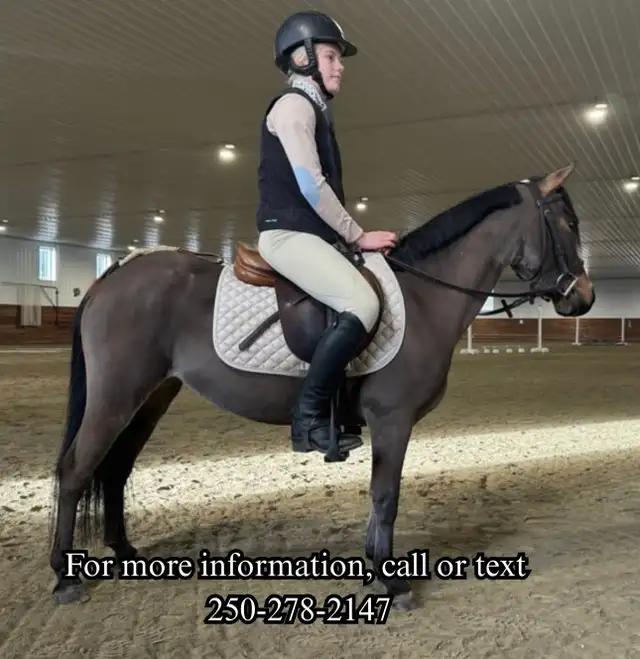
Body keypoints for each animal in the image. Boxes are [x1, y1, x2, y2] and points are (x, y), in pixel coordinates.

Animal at [48, 162, 595, 610]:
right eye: (568, 223)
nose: (584, 299)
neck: (424, 296)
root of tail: (114, 274)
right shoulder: (392, 420)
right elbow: (386, 495)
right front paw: (391, 582)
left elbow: (379, 499)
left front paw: (374, 569)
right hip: (117, 397)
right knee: (77, 469)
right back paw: (65, 576)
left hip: (151, 397)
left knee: (115, 469)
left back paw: (123, 552)